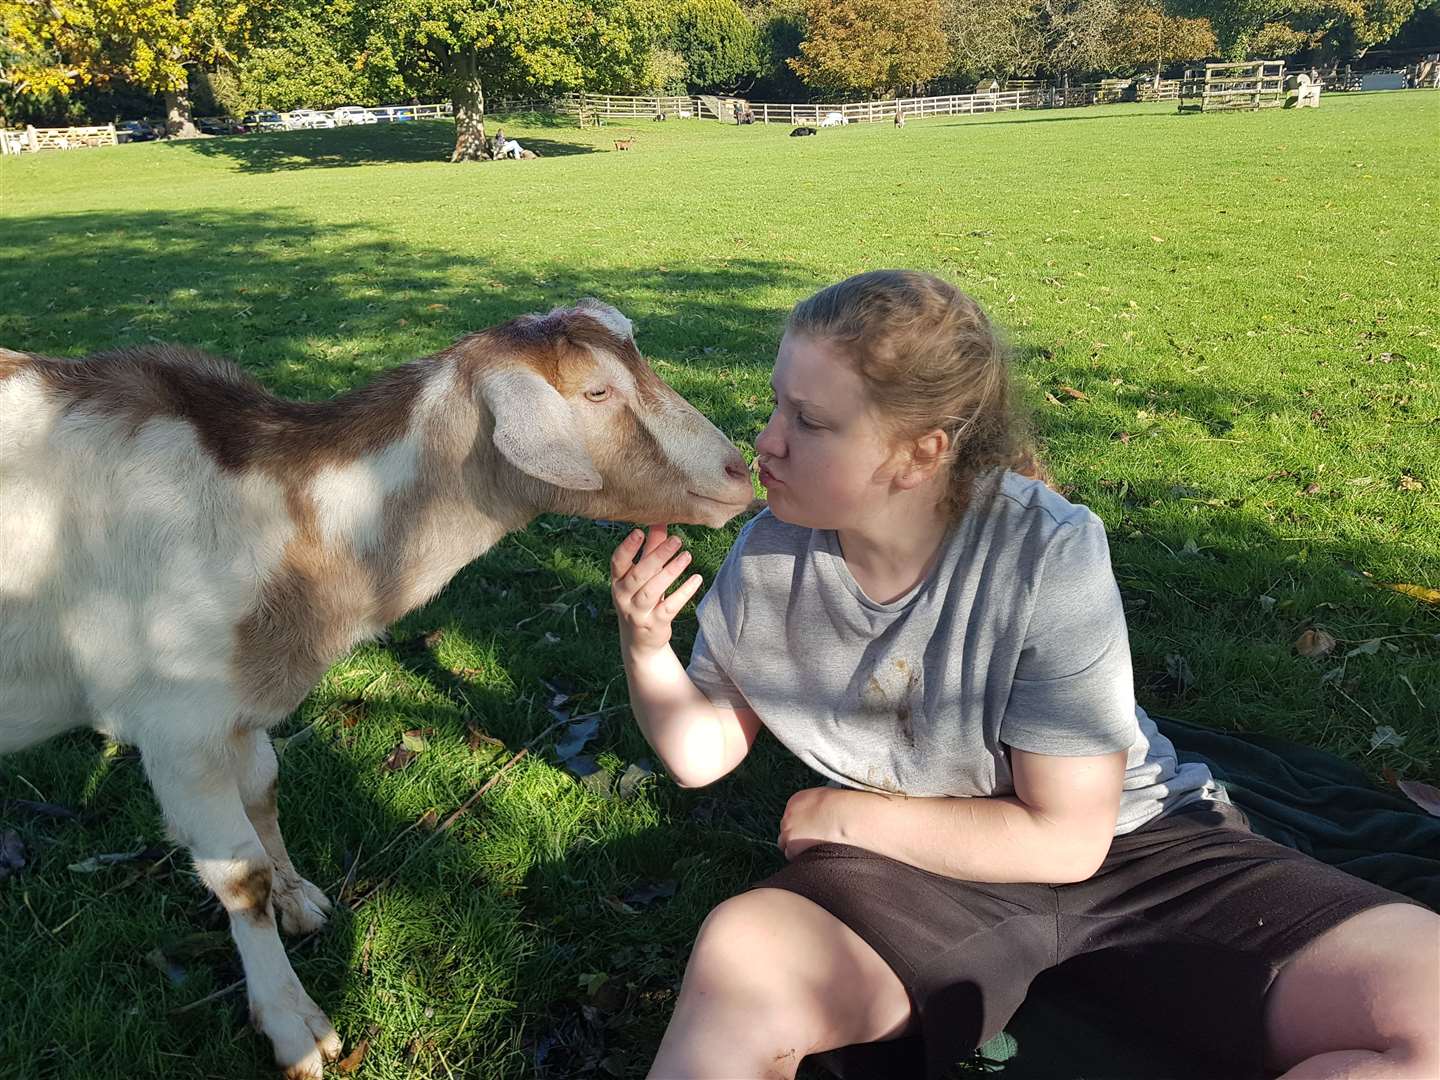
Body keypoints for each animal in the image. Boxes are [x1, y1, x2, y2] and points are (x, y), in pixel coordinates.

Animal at [0, 300, 760, 1077]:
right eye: (596, 392)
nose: (739, 472)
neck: (279, 521)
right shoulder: (177, 722)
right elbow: (239, 875)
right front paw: (295, 1026)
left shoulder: (240, 706)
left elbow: (265, 789)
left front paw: (300, 901)